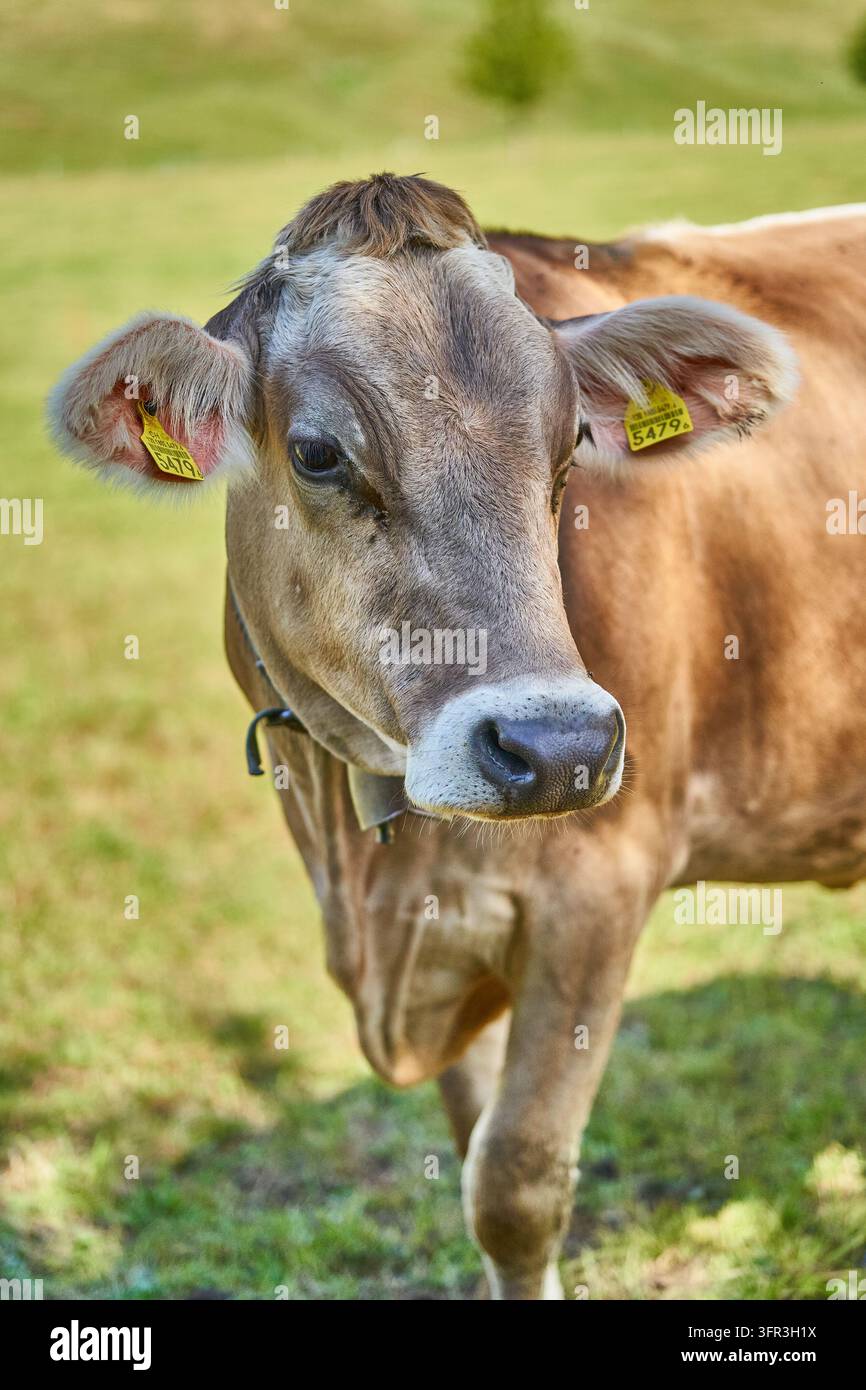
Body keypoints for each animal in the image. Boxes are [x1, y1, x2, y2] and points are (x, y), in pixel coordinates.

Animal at [49, 174, 866, 1300]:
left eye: (571, 449)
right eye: (317, 453)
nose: (556, 748)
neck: (367, 864)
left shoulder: (598, 890)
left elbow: (514, 1184)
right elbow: (475, 1146)